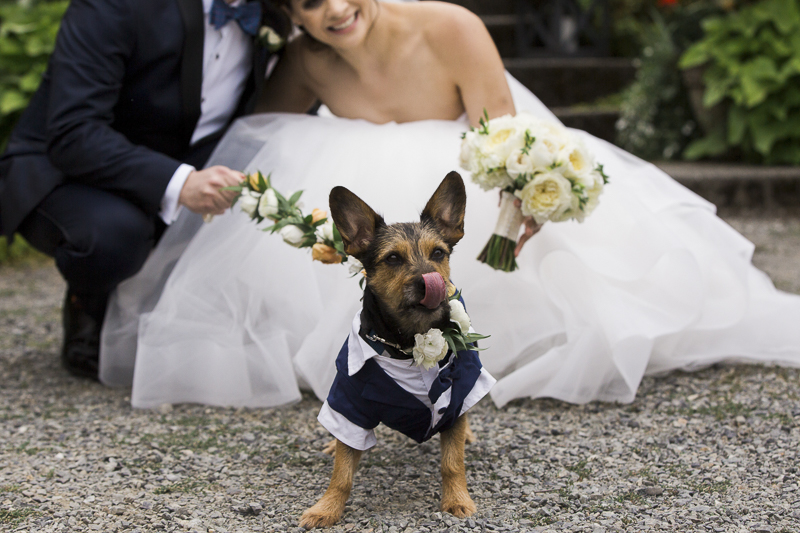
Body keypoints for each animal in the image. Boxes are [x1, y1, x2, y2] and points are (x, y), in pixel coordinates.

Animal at [296, 171, 490, 528]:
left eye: (438, 253)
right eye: (393, 258)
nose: (430, 281)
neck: (407, 345)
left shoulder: (454, 396)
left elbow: (452, 461)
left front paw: (457, 500)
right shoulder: (351, 399)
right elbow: (342, 472)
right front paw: (326, 507)